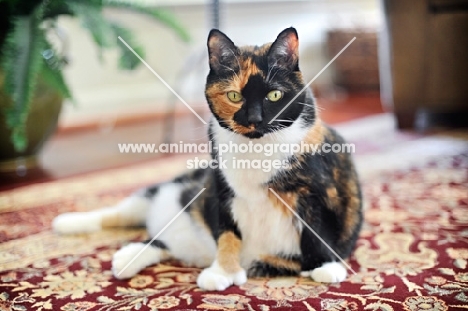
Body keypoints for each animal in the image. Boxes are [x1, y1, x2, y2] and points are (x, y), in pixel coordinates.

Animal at [53, 27, 364, 292]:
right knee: (120, 212)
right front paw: (223, 271)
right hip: (176, 188)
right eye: (234, 95)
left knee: (157, 239)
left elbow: (317, 228)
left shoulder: (318, 190)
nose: (255, 119)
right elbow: (227, 230)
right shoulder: (221, 187)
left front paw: (326, 266)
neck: (256, 148)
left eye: (275, 94)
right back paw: (69, 223)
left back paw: (128, 255)